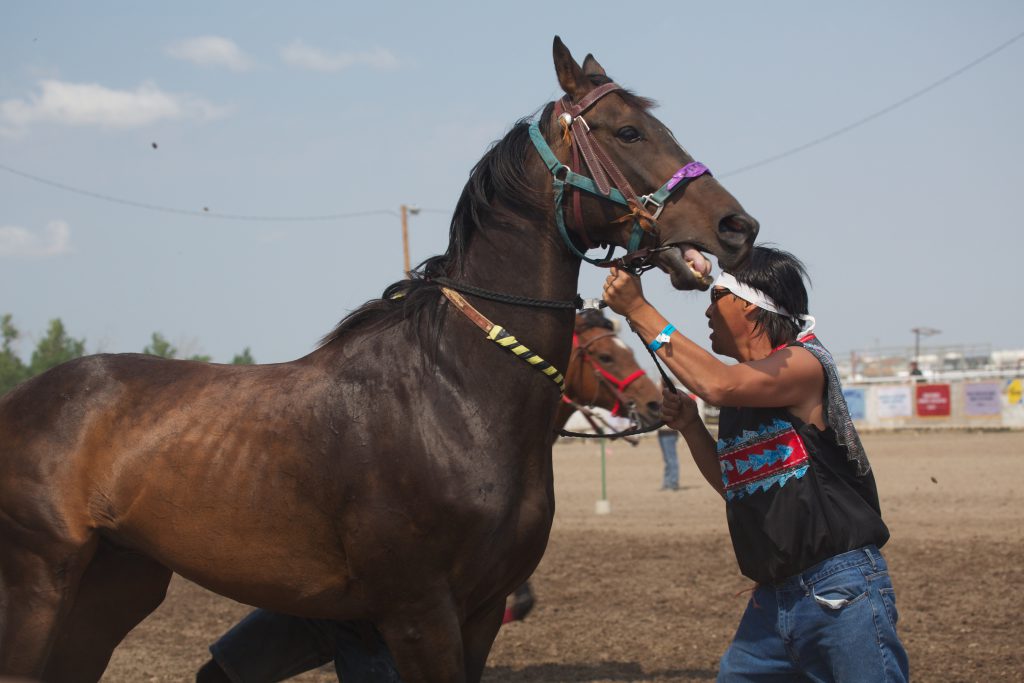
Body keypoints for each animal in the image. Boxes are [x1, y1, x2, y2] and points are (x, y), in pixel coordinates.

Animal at [0, 38, 757, 683]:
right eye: (628, 132)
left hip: (112, 589)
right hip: (40, 586)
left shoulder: (481, 611)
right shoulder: (418, 613)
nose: (736, 226)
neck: (452, 396)